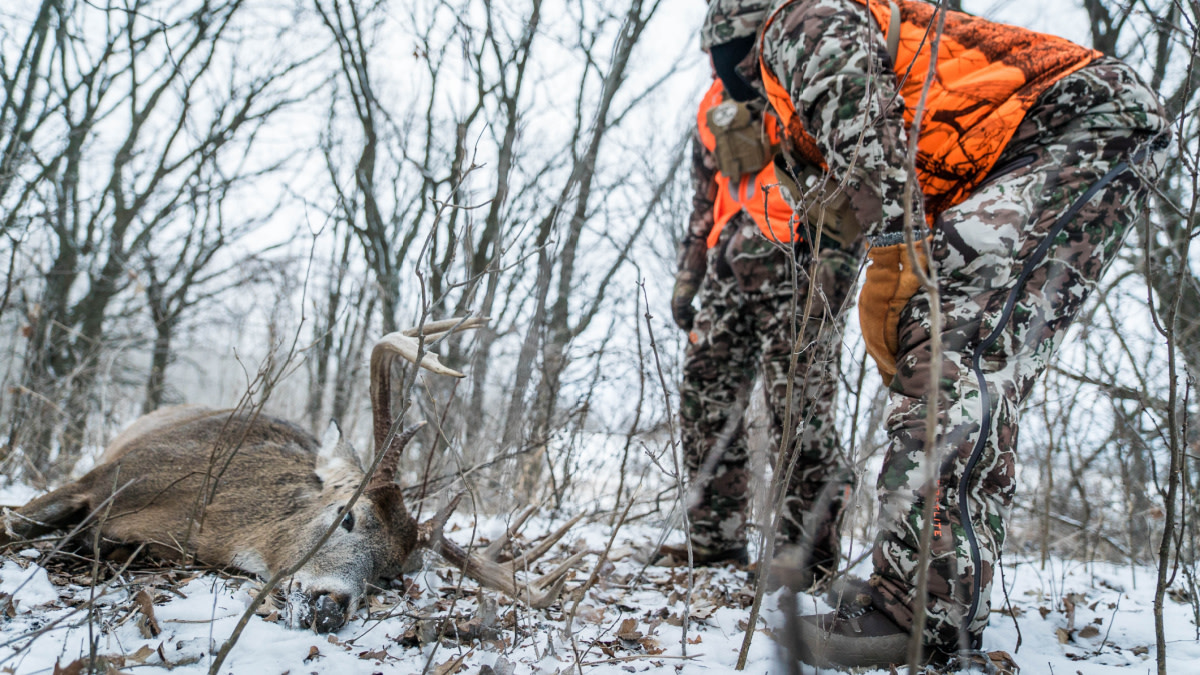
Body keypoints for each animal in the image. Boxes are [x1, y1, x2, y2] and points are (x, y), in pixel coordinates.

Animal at [0, 317, 584, 633]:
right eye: (347, 517)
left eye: (390, 575)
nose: (330, 607)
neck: (205, 517)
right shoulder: (103, 477)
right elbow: (16, 525)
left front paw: (94, 544)